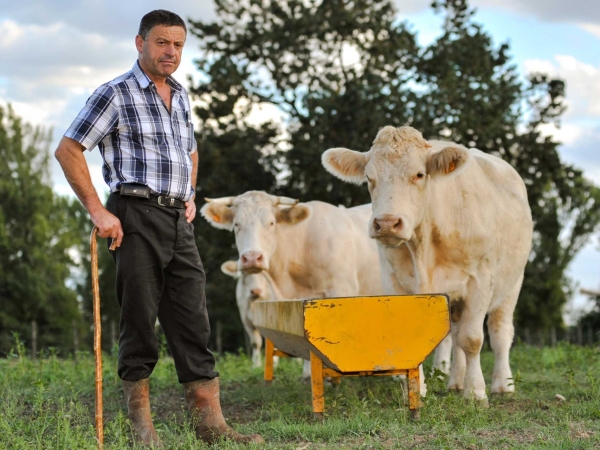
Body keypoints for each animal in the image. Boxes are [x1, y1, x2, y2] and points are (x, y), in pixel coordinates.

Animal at [324, 126, 536, 404]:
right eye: (369, 178)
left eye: (419, 174)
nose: (387, 223)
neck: (424, 247)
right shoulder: (394, 281)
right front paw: (415, 391)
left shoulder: (480, 279)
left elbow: (473, 338)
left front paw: (476, 393)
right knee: (456, 334)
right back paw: (456, 382)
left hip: (512, 283)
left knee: (500, 332)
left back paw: (502, 385)